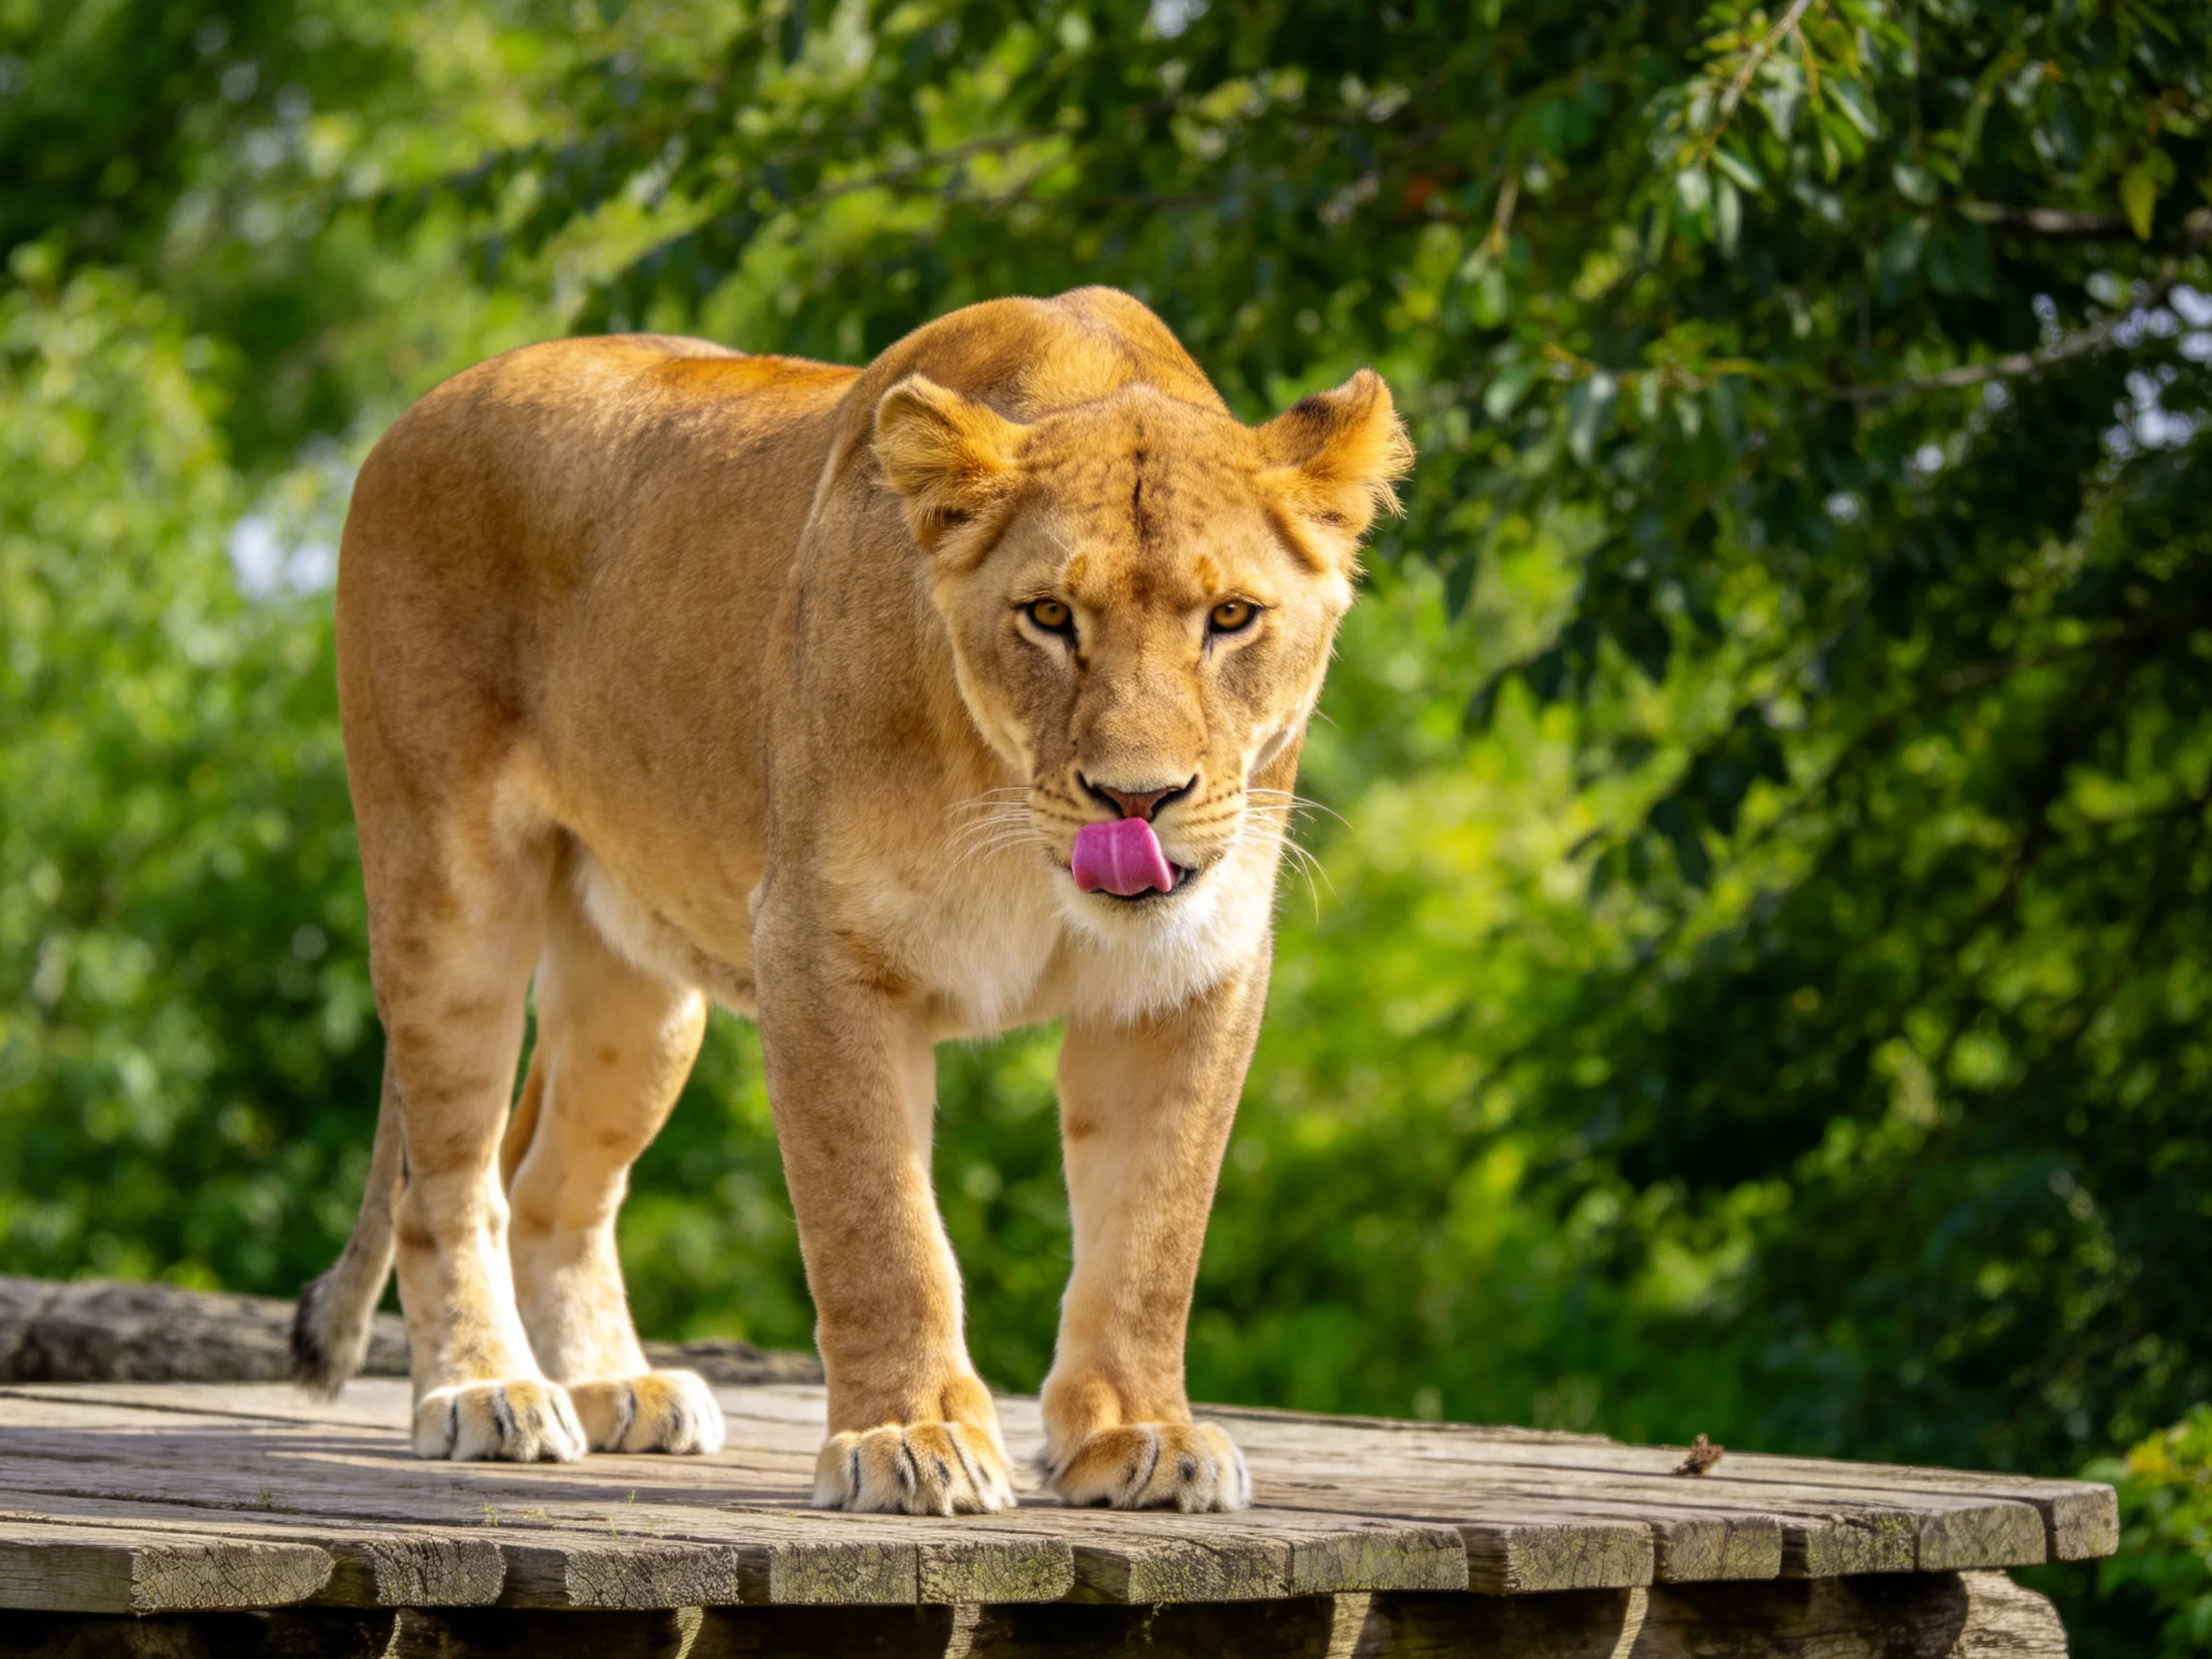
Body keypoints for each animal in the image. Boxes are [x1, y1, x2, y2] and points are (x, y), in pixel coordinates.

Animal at [291, 286, 1410, 1514]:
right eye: (1049, 616)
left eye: (1232, 618)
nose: (1137, 798)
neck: (1012, 818)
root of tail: (424, 406)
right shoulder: (818, 948)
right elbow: (879, 1226)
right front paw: (910, 1439)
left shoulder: (1187, 976)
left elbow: (1153, 1233)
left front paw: (1139, 1435)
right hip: (449, 896)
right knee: (446, 1185)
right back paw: (488, 1392)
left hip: (640, 986)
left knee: (550, 1184)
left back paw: (613, 1388)